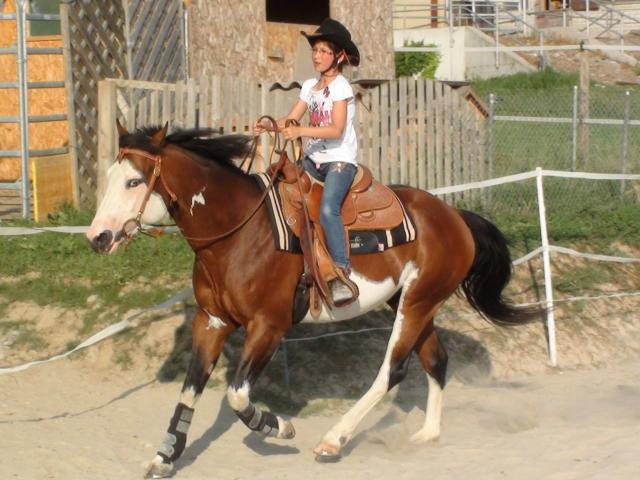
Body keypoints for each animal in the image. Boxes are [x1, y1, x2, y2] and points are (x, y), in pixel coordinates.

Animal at [86, 123, 540, 478]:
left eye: (133, 181)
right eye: (110, 177)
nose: (97, 237)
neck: (240, 234)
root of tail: (454, 216)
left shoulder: (269, 326)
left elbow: (236, 395)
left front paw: (278, 427)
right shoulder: (211, 321)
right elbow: (190, 389)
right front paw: (165, 457)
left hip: (417, 304)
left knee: (391, 371)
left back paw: (334, 439)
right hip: (413, 302)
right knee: (436, 360)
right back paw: (428, 433)